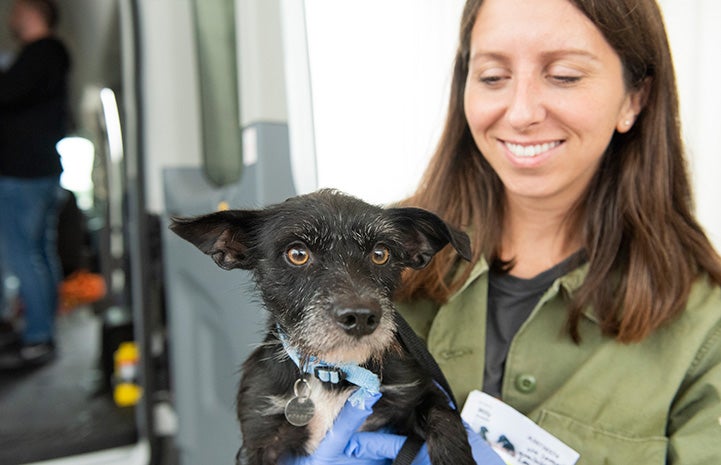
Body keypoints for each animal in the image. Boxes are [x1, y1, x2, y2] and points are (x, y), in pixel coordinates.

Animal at [170, 189, 478, 464]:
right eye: (297, 253)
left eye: (381, 253)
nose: (361, 317)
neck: (332, 371)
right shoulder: (259, 436)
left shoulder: (419, 393)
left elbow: (445, 417)